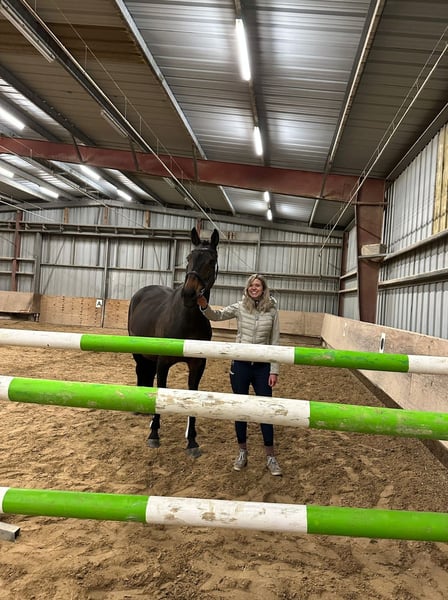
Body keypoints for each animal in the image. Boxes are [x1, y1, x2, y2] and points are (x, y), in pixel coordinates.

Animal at [127, 227, 220, 458]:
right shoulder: (163, 363)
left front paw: (192, 442)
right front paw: (153, 434)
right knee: (140, 371)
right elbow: (161, 390)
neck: (187, 319)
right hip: (137, 351)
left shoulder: (198, 365)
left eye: (211, 260)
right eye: (188, 257)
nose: (189, 294)